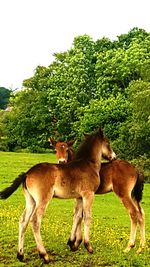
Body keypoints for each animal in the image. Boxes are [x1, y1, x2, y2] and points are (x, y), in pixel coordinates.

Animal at [0, 129, 115, 264]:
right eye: (108, 142)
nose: (113, 157)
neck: (88, 164)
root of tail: (27, 173)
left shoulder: (79, 197)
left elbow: (77, 216)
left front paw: (73, 244)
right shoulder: (88, 194)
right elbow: (87, 217)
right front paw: (88, 246)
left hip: (30, 201)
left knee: (23, 220)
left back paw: (20, 255)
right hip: (43, 200)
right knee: (35, 220)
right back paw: (44, 255)